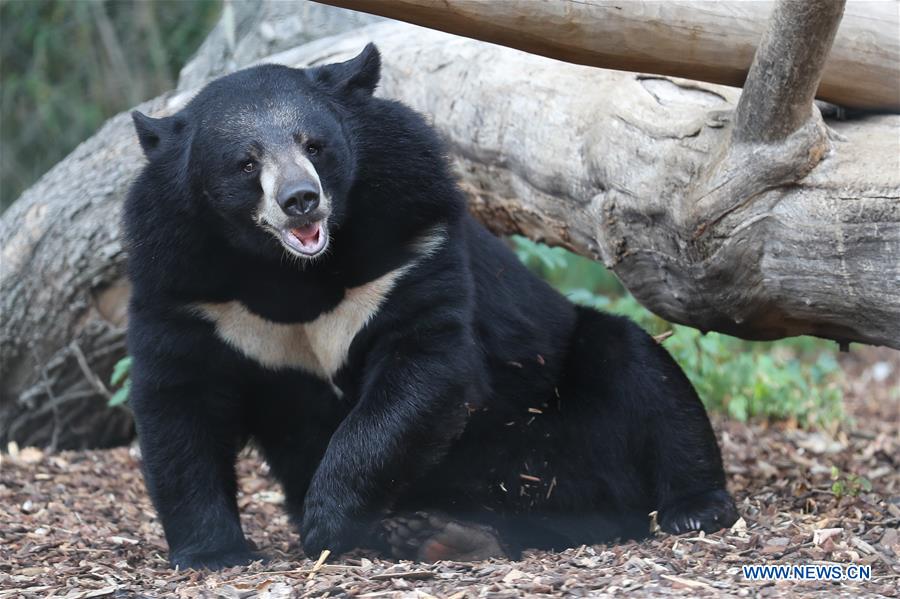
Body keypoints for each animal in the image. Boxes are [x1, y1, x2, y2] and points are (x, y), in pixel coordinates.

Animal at [123, 44, 736, 568]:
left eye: (314, 144)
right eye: (246, 163)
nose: (301, 200)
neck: (294, 272)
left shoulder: (409, 241)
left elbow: (422, 364)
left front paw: (325, 521)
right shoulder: (185, 286)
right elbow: (181, 402)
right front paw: (214, 553)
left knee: (646, 376)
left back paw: (694, 508)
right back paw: (440, 533)